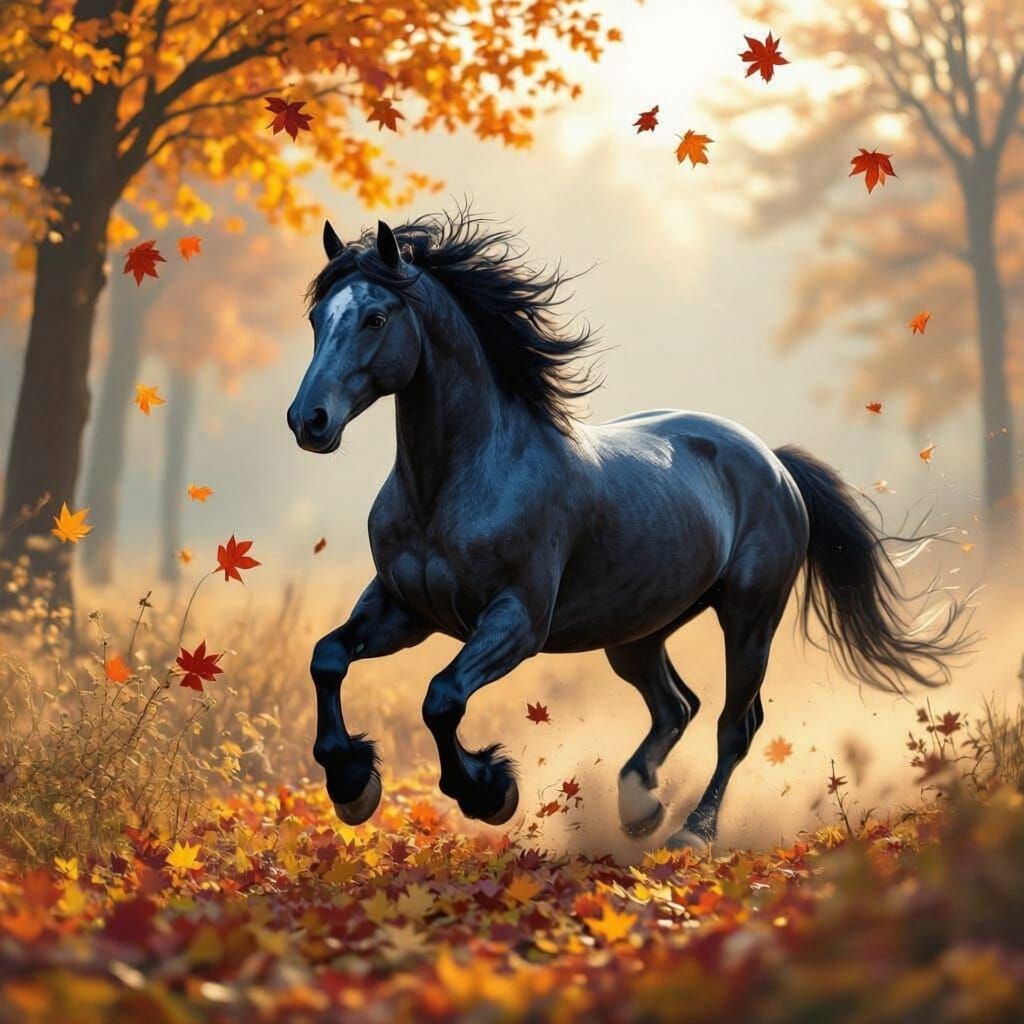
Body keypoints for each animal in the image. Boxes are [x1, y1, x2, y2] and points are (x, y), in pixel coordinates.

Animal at [287, 210, 968, 850]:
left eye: (376, 318)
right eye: (317, 317)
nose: (308, 421)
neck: (457, 484)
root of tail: (773, 462)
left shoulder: (517, 621)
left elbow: (442, 696)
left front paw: (490, 792)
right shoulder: (405, 608)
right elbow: (327, 658)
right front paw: (352, 783)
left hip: (750, 617)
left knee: (735, 723)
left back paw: (692, 831)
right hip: (636, 632)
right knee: (677, 706)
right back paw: (638, 807)